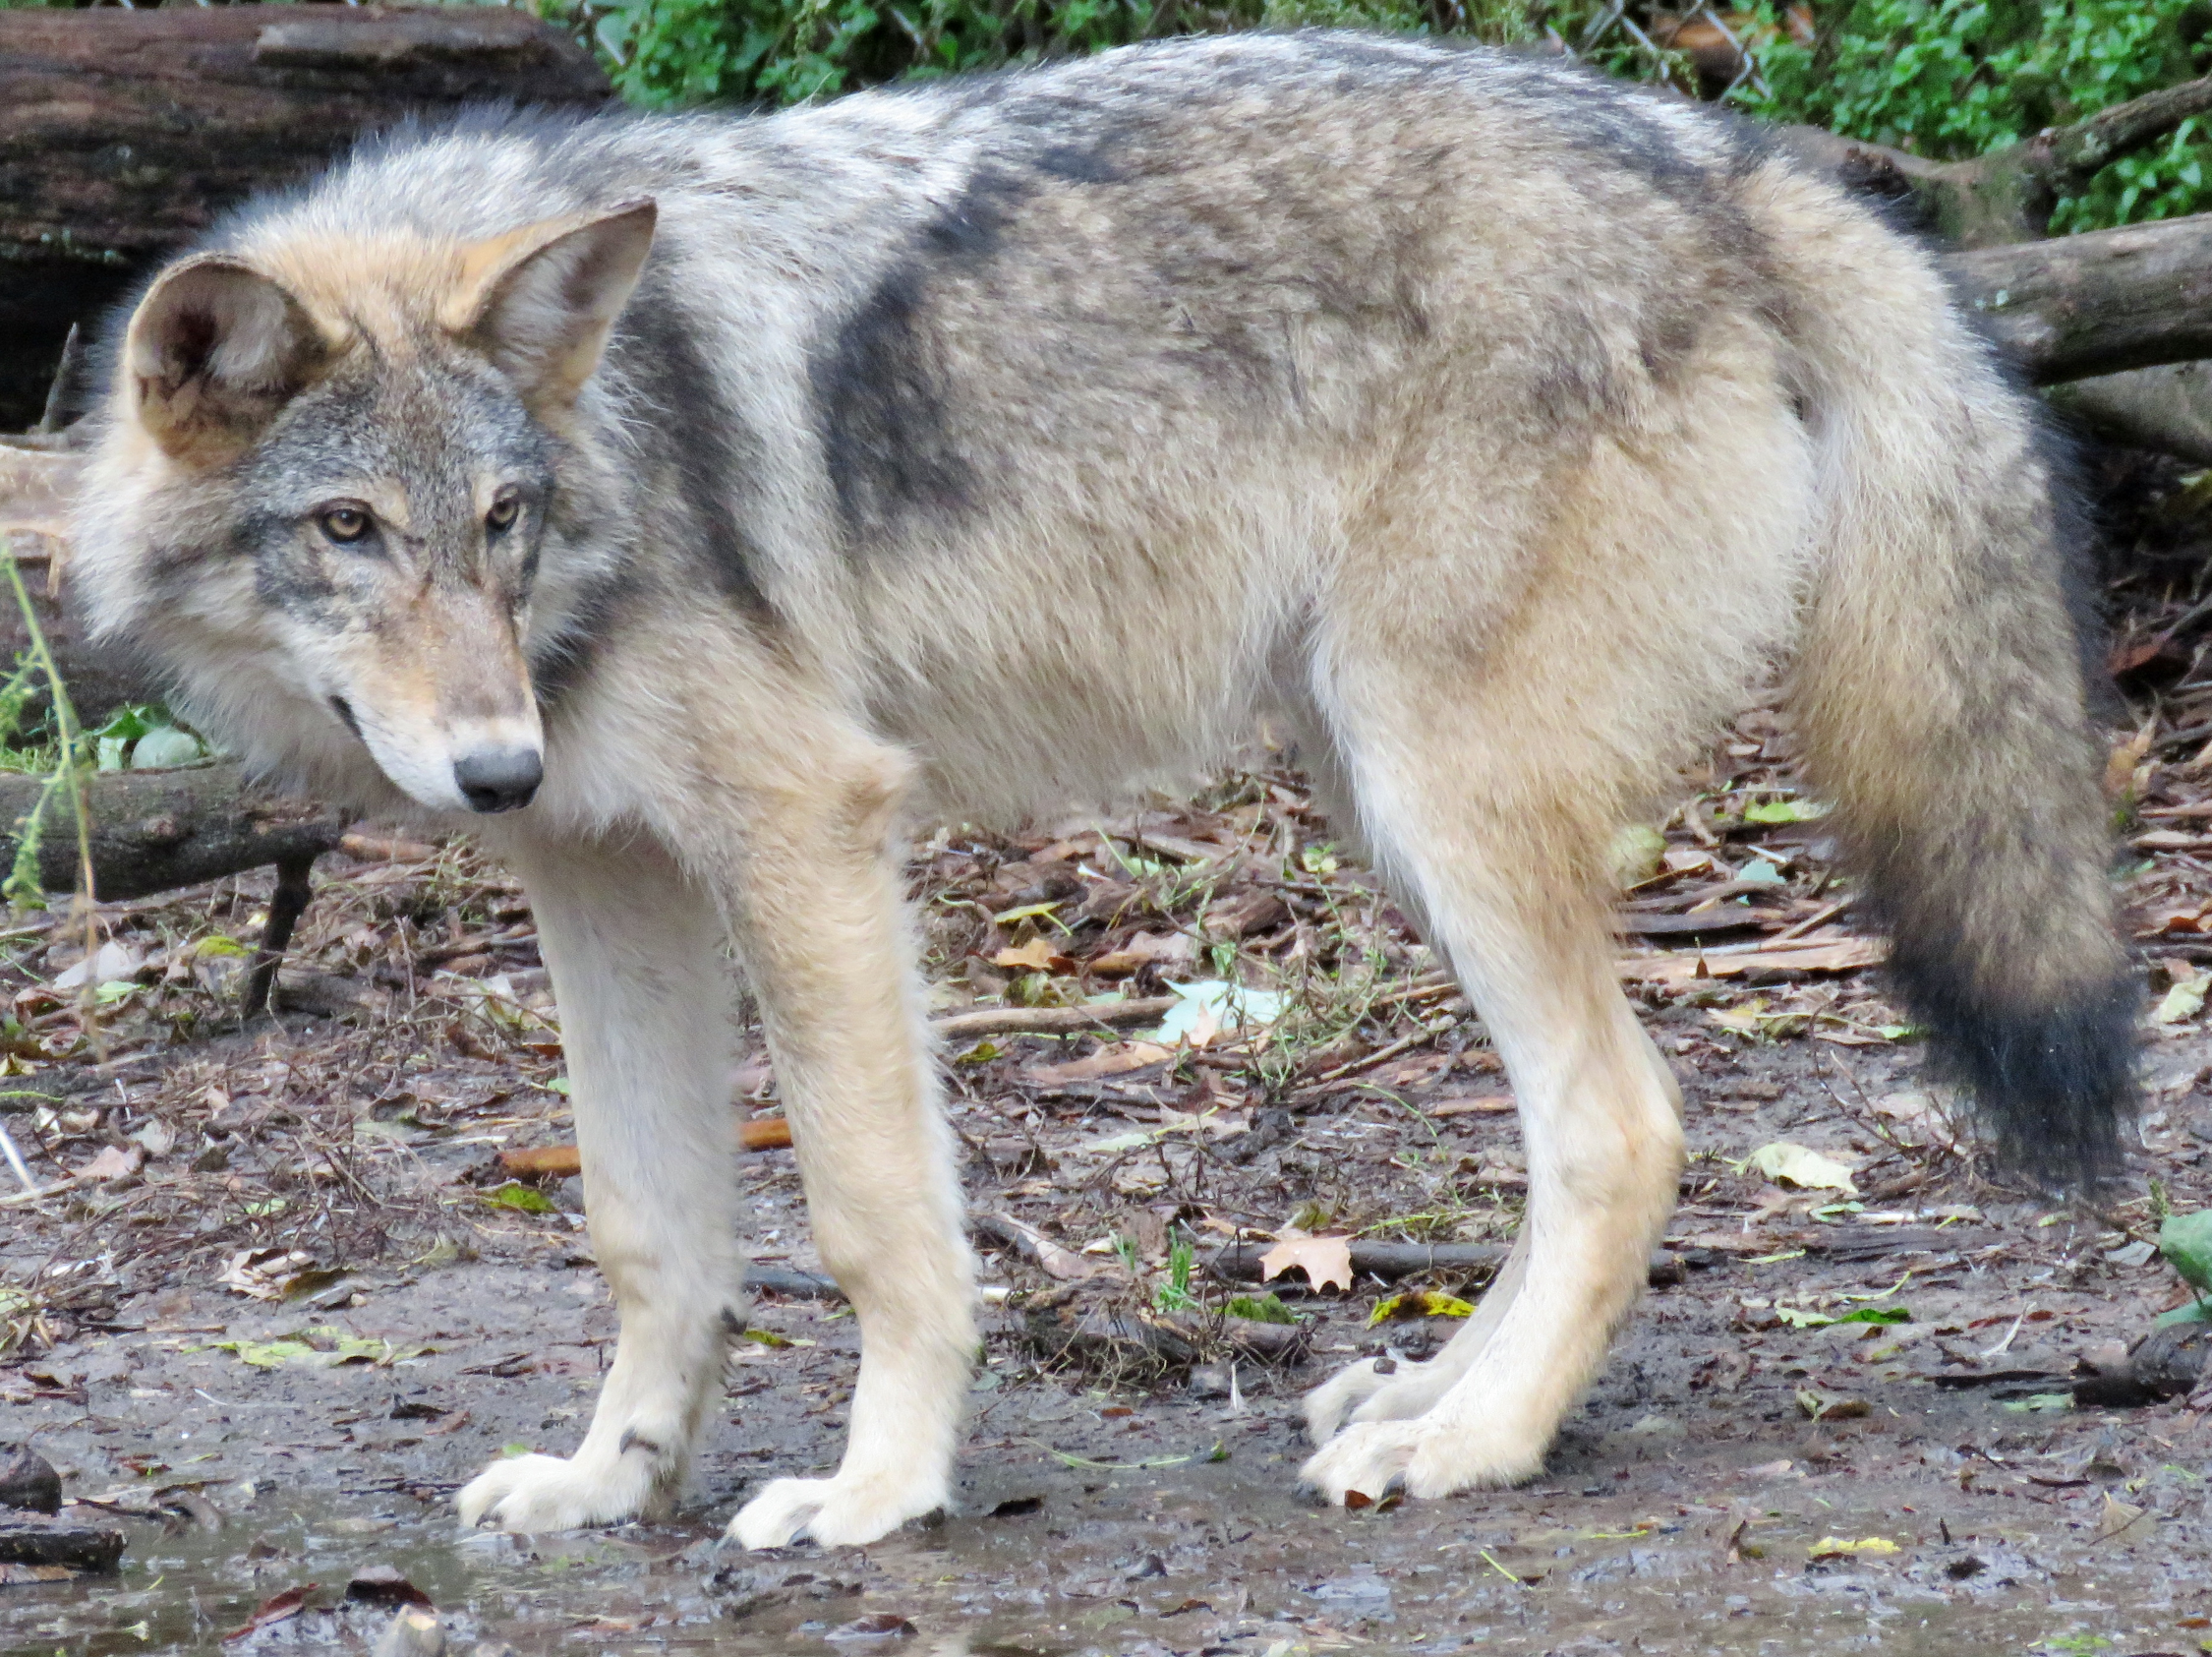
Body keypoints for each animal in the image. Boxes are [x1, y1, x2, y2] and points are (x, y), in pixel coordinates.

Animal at [78, 29, 2132, 1548]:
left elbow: (872, 1218)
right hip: (1385, 806)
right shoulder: (604, 880)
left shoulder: (810, 830)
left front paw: (878, 1492)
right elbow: (649, 1229)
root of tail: (1724, 156)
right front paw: (608, 1486)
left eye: (499, 523)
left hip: (1437, 800)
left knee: (1624, 1128)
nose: (492, 761)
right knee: (1576, 1144)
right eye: (352, 530)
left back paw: (1471, 1450)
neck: (615, 450)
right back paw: (1435, 1392)